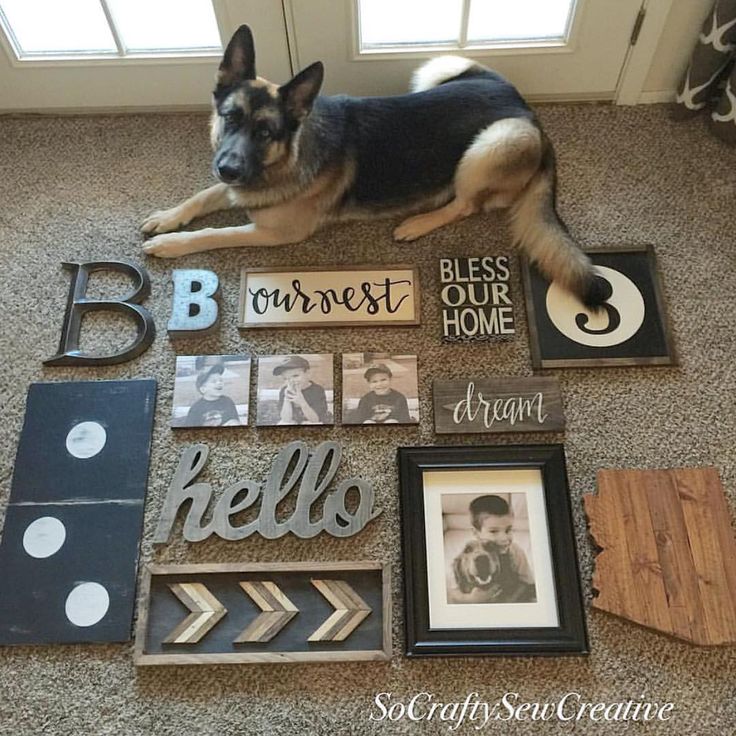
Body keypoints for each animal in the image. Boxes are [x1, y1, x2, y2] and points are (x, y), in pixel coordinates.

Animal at [142, 25, 604, 306]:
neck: (292, 153)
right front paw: (168, 218)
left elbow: (215, 233)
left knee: (465, 204)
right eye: (230, 118)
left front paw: (172, 244)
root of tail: (528, 111)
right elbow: (201, 196)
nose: (229, 169)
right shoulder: (234, 185)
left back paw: (417, 223)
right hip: (440, 66)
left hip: (493, 142)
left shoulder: (273, 233)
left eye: (265, 132)